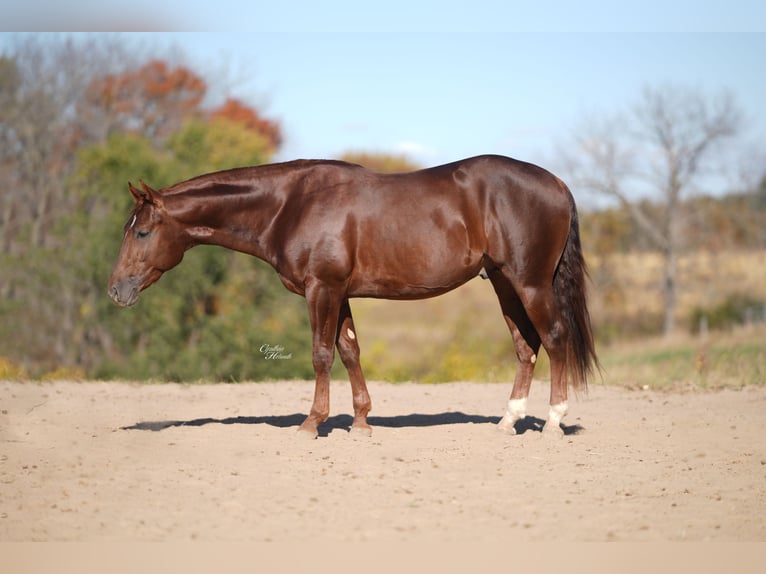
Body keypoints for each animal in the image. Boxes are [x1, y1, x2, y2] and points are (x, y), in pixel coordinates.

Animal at [108, 155, 600, 438]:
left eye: (143, 231)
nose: (116, 290)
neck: (290, 204)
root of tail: (557, 183)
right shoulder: (338, 292)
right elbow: (349, 351)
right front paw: (362, 421)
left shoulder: (321, 288)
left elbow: (322, 354)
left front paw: (312, 423)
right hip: (502, 281)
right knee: (526, 345)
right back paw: (508, 421)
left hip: (529, 282)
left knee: (554, 339)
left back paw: (553, 422)